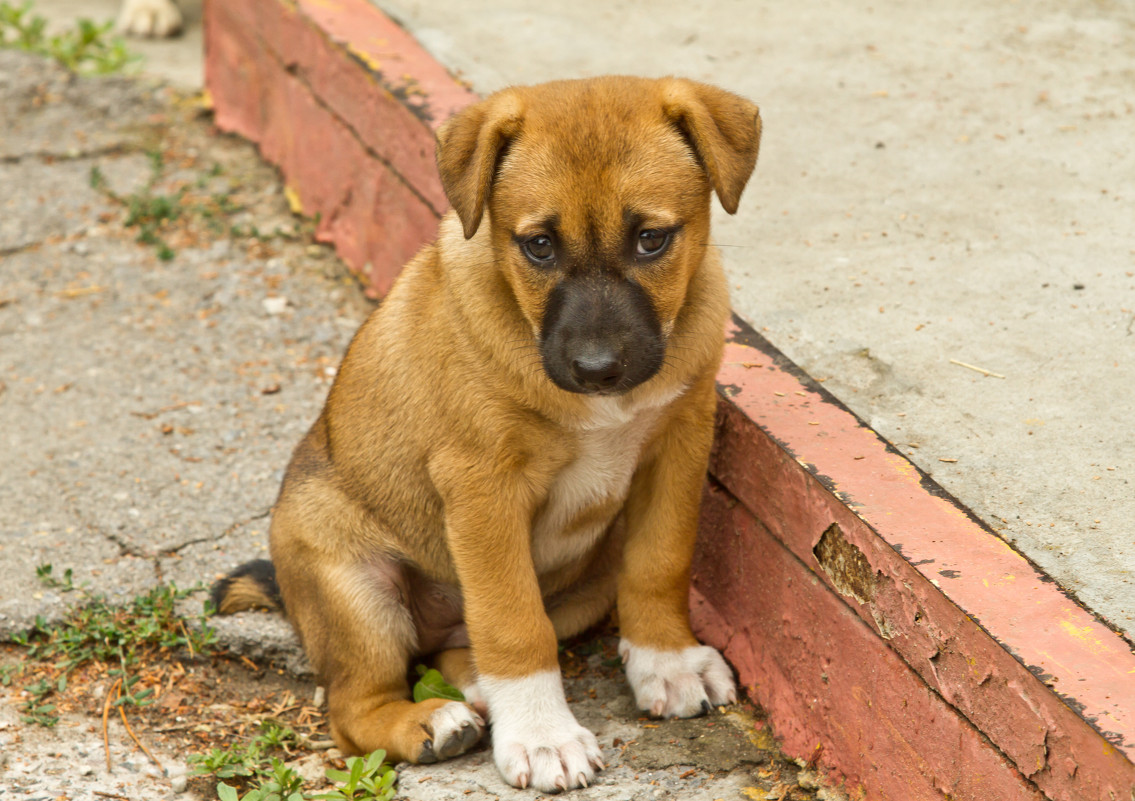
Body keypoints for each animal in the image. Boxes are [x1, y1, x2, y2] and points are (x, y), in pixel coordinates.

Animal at [213, 76, 762, 794]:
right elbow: (511, 620)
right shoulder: (482, 486)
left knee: (458, 645)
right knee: (353, 708)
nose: (595, 369)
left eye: (651, 239)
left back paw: (475, 690)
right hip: (355, 589)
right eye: (538, 246)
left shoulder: (678, 445)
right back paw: (432, 723)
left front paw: (666, 662)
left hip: (586, 579)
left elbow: (660, 562)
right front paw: (542, 735)